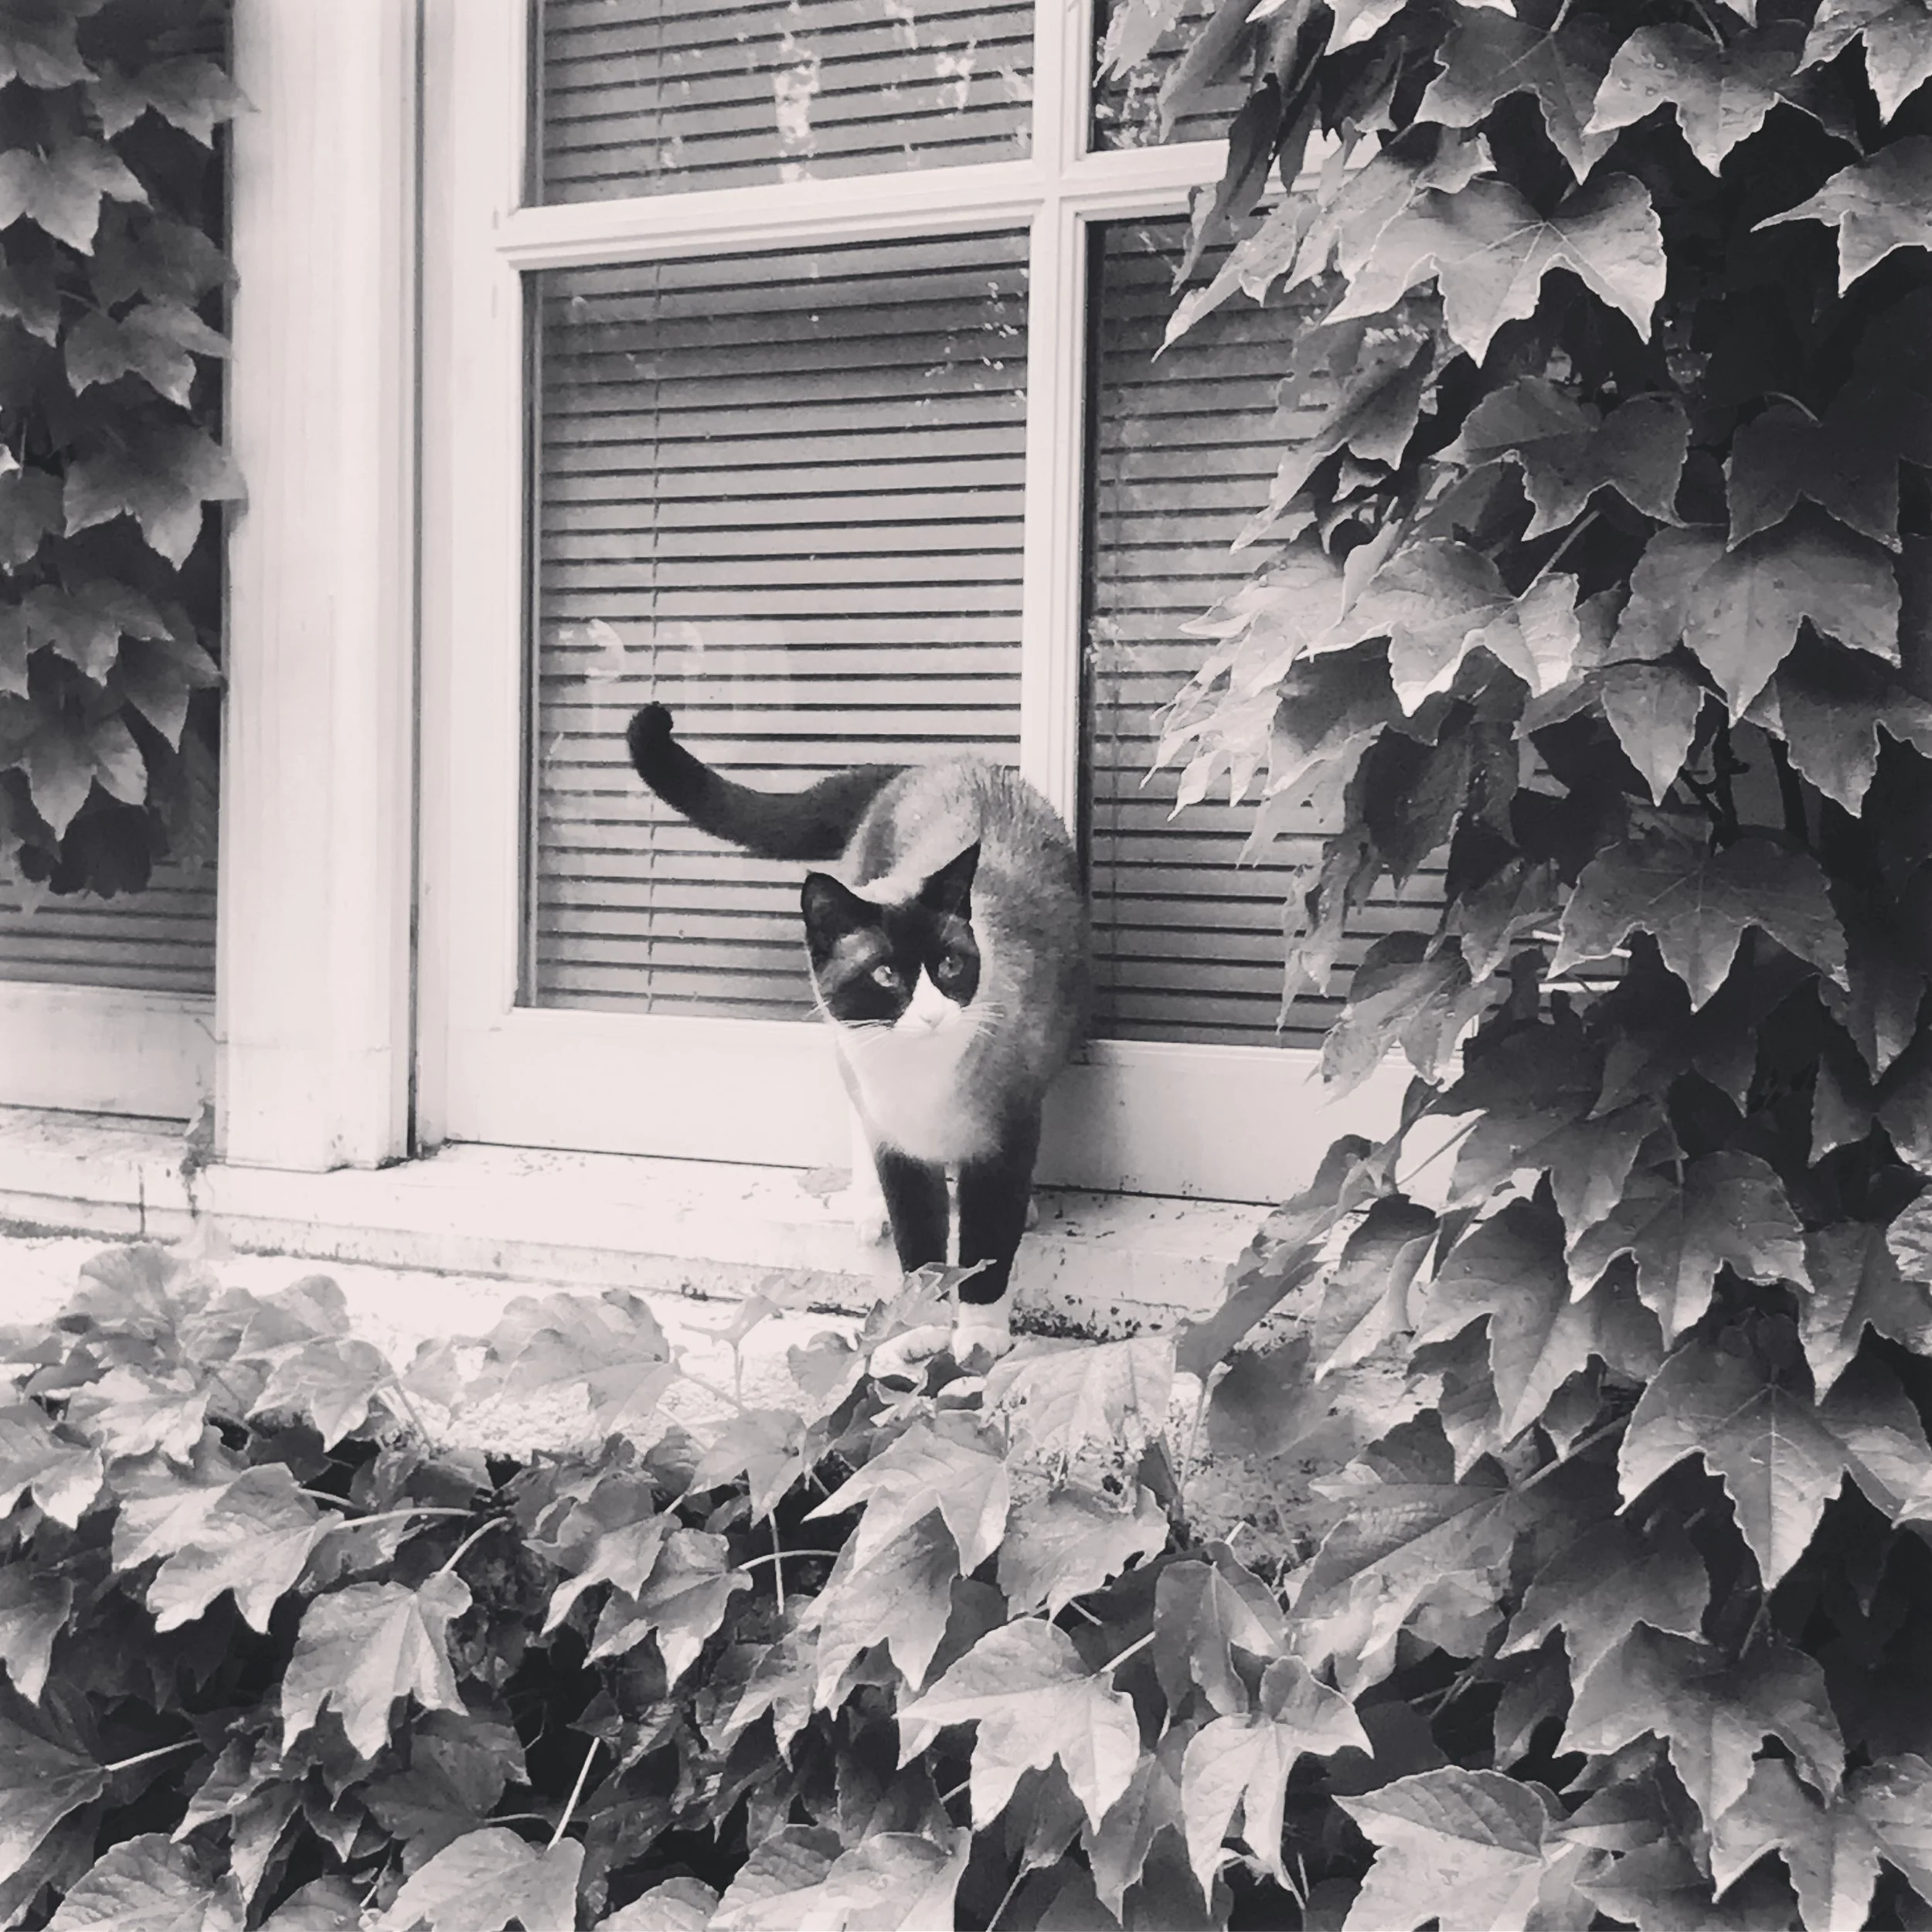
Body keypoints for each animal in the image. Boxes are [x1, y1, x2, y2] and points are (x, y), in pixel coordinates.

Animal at [625, 702, 1088, 1366]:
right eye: (887, 975)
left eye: (950, 965)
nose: (931, 1014)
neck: (920, 1077)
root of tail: (930, 763)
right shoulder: (898, 1149)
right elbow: (921, 1248)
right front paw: (920, 1329)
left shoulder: (1004, 1141)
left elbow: (984, 1248)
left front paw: (979, 1339)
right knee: (855, 1120)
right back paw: (870, 1212)